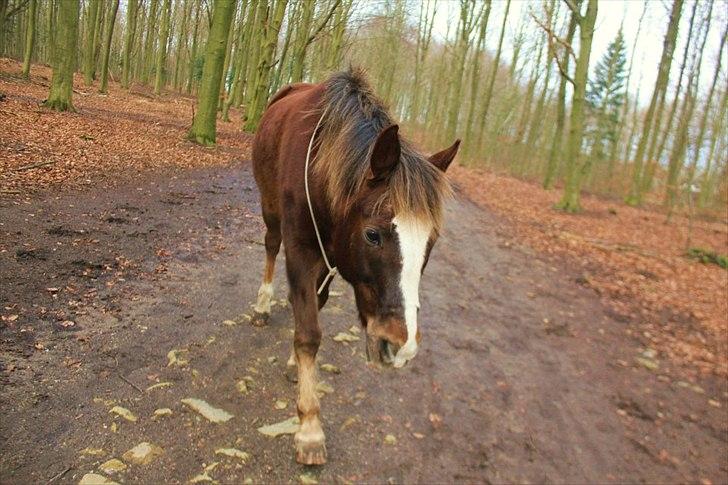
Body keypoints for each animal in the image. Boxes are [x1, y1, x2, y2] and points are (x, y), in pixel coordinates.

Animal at [250, 66, 456, 464]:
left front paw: (296, 366)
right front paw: (310, 427)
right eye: (373, 235)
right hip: (269, 207)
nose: (400, 345)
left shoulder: (333, 255)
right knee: (270, 245)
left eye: (431, 241)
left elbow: (314, 306)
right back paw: (263, 305)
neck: (322, 167)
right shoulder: (301, 248)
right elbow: (309, 332)